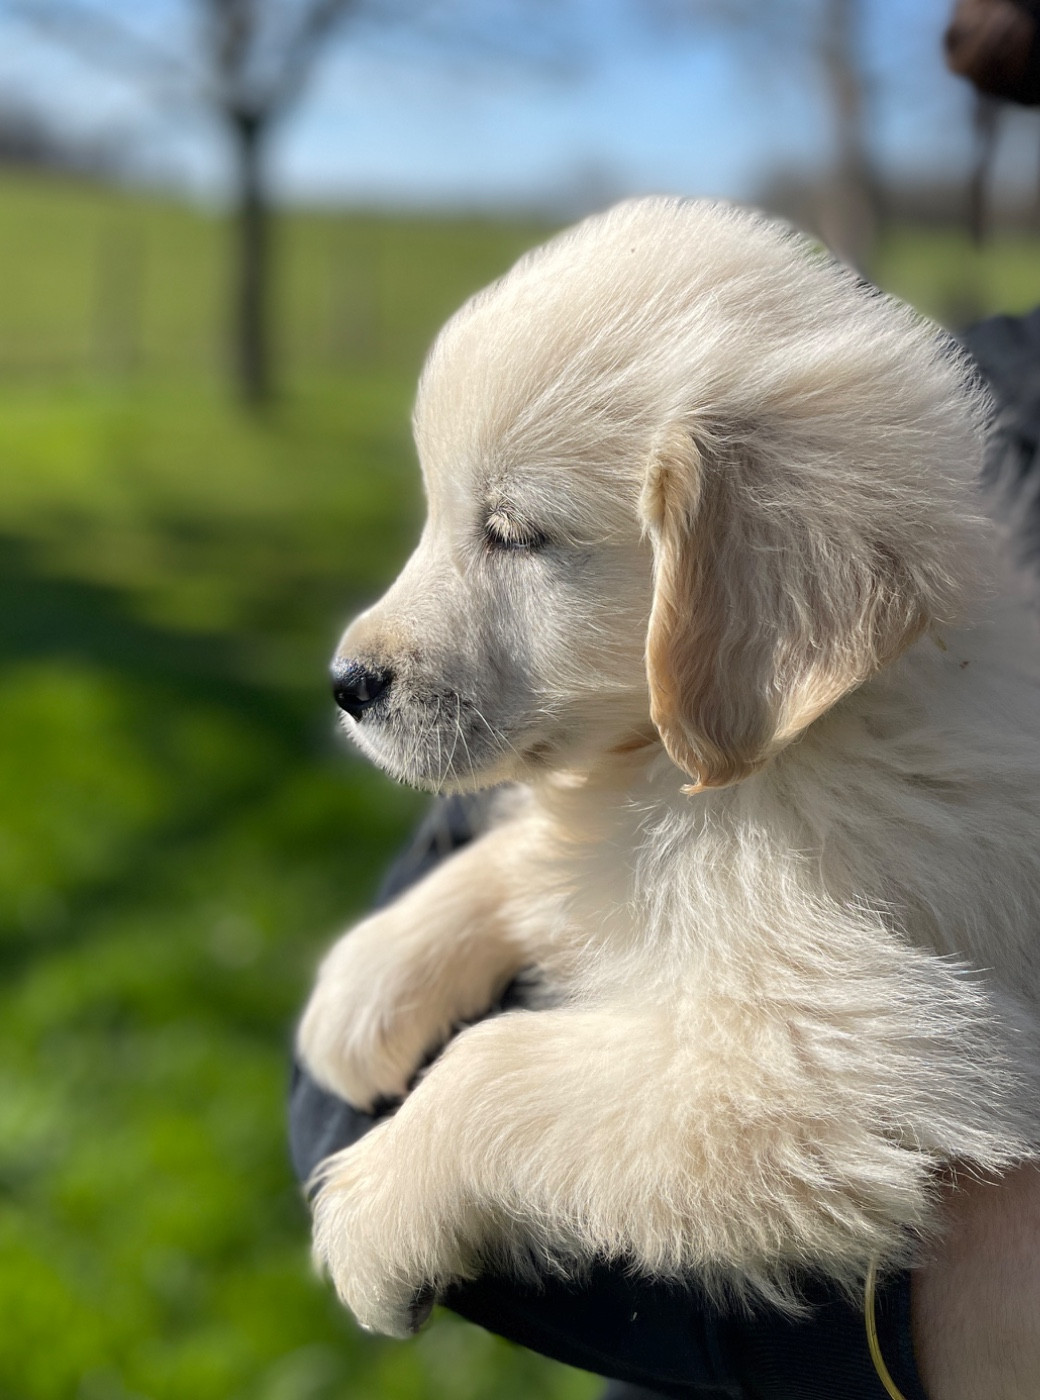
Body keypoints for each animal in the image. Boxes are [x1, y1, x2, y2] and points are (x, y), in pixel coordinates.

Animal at [297, 196, 1040, 1340]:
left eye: (514, 532)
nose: (346, 682)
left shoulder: (857, 1054)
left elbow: (496, 1059)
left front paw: (374, 1208)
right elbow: (527, 857)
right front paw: (368, 974)